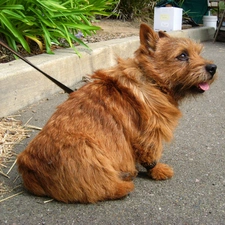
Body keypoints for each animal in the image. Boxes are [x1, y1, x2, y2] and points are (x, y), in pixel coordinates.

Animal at [16, 23, 217, 203]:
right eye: (182, 55)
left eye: (198, 52)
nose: (213, 68)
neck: (151, 79)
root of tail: (27, 168)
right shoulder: (148, 133)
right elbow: (151, 155)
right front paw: (157, 170)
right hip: (87, 150)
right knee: (99, 188)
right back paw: (124, 184)